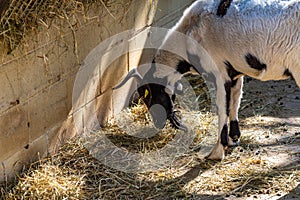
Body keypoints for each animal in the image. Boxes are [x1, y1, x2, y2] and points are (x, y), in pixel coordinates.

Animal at [113, 0, 300, 159]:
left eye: (148, 96)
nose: (158, 123)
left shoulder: (219, 74)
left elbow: (222, 109)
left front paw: (216, 152)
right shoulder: (234, 74)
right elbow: (234, 104)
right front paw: (233, 139)